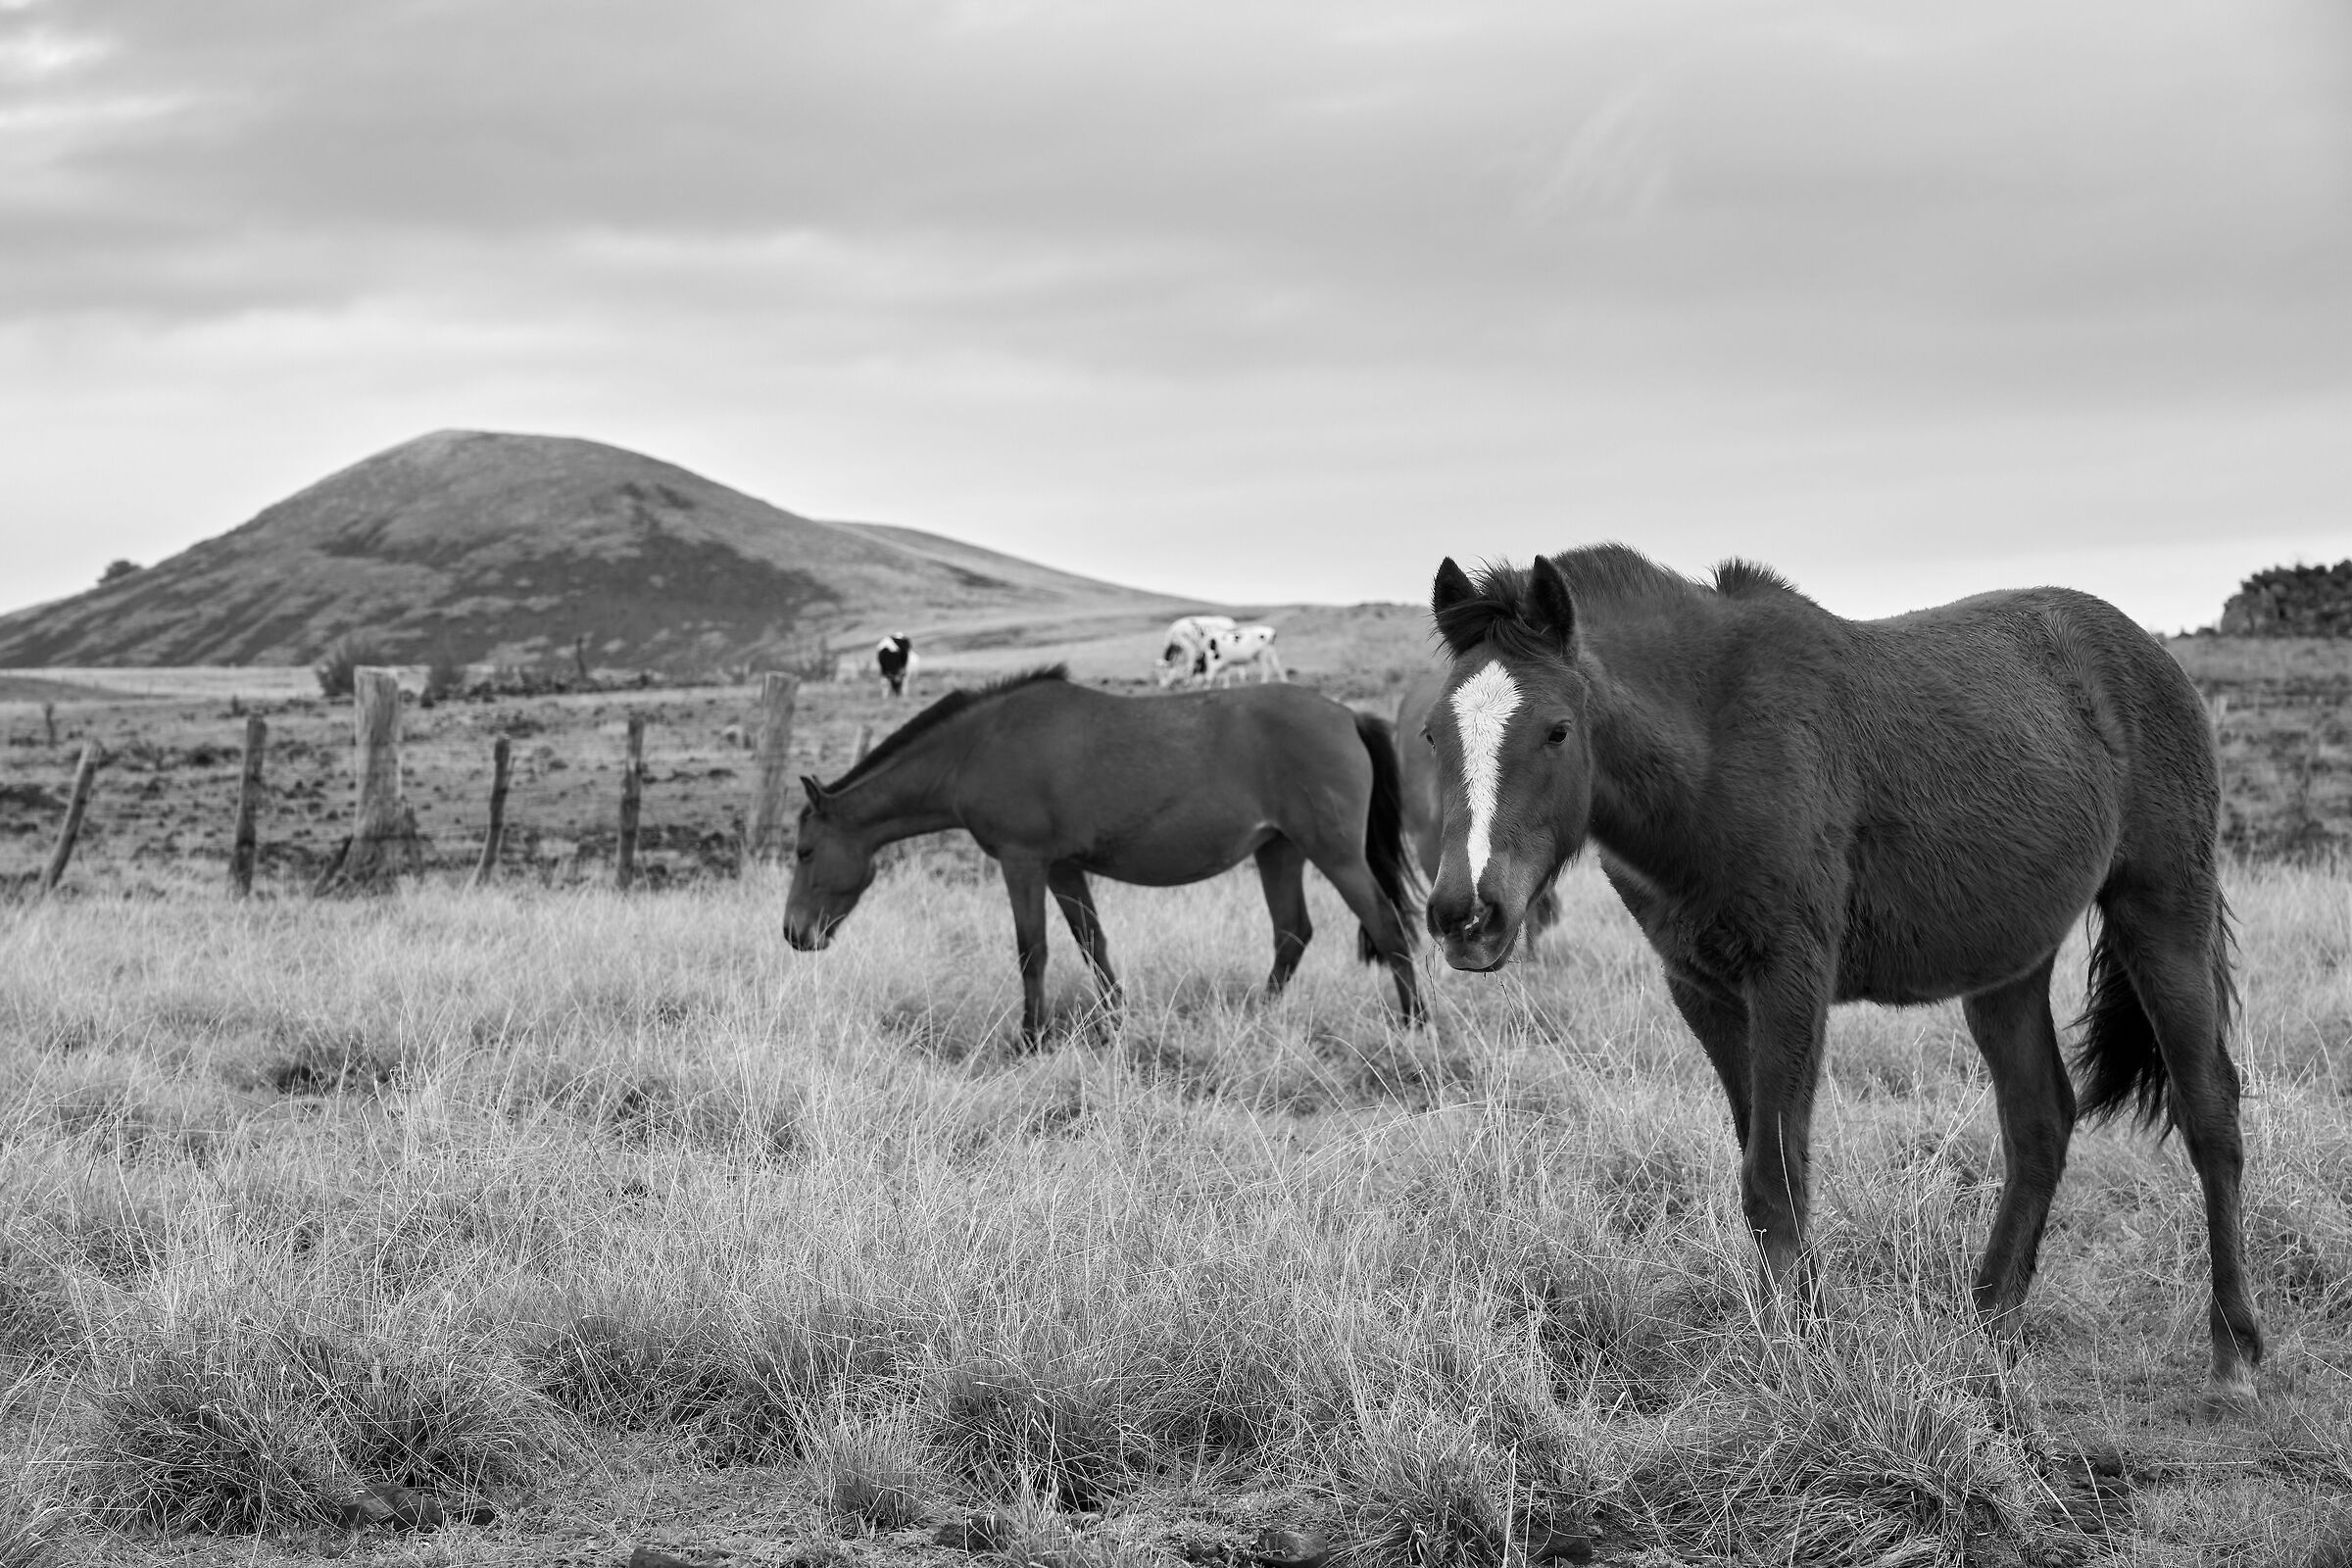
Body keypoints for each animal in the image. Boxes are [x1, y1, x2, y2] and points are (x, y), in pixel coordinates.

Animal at [784, 667, 1425, 1042]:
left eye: (805, 851)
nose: (794, 933)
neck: (978, 746)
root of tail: (1346, 714)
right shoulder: (1063, 867)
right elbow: (1092, 943)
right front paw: (1116, 1025)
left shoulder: (1023, 863)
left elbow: (1032, 952)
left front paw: (1031, 1038)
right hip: (1279, 851)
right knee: (1292, 933)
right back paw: (1258, 1018)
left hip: (1335, 855)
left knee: (1388, 927)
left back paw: (1415, 1028)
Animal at [1418, 545, 2261, 1410]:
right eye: (1432, 735)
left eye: (1557, 730)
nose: (1466, 914)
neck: (1716, 740)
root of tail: (2152, 657)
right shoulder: (1705, 991)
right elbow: (1767, 1172)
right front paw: (1803, 1339)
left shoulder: (1790, 979)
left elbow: (1775, 1175)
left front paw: (1805, 1360)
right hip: (2009, 967)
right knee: (2040, 1122)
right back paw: (1986, 1332)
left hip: (2162, 914)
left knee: (2209, 1113)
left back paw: (2233, 1351)